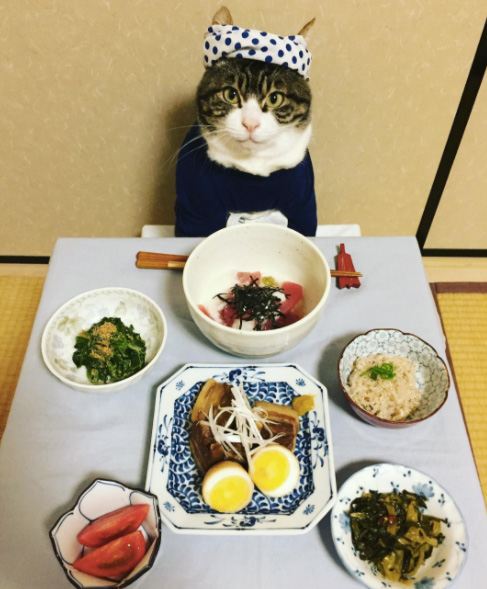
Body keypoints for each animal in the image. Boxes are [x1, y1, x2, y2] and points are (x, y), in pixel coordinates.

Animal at [174, 6, 316, 237]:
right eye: (231, 94)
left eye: (275, 98)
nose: (250, 123)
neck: (253, 168)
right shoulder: (197, 204)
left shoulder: (302, 201)